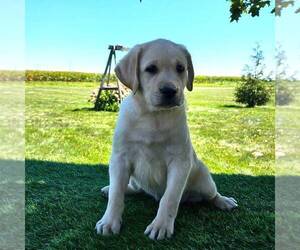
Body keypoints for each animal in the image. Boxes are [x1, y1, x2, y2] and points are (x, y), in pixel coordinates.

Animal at [95, 39, 238, 240]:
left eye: (180, 68)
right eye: (150, 69)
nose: (170, 90)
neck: (153, 115)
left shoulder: (180, 162)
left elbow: (169, 198)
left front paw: (160, 225)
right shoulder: (119, 158)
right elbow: (117, 194)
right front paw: (109, 221)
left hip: (205, 180)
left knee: (211, 195)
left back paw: (224, 201)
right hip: (135, 178)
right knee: (132, 188)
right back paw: (112, 189)